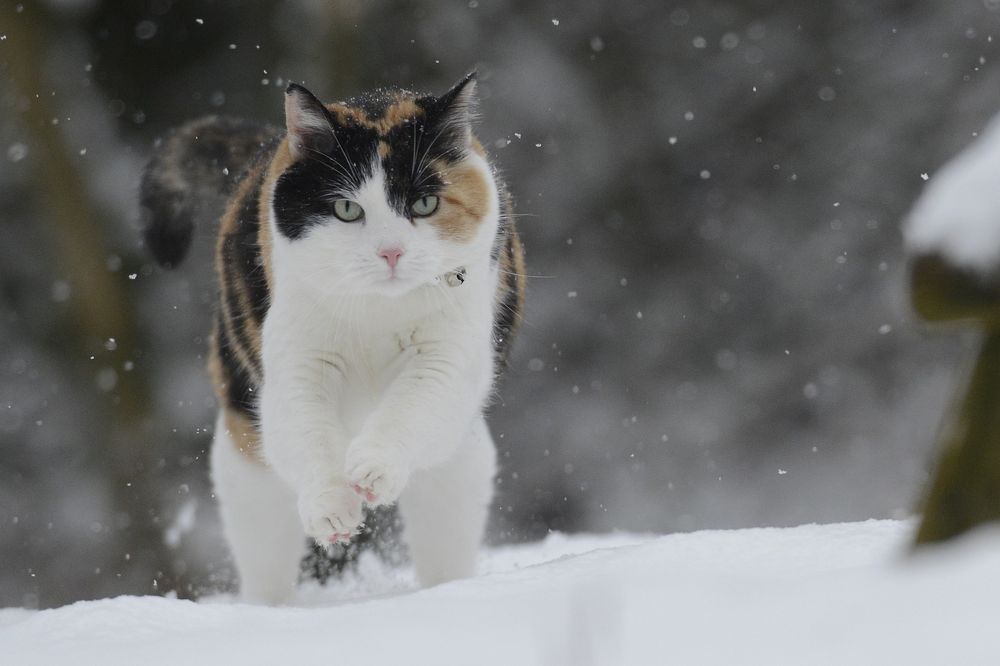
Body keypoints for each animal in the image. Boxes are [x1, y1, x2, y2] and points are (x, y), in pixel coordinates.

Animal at [146, 72, 532, 600]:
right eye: (347, 209)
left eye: (425, 203)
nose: (390, 252)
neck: (376, 314)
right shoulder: (297, 363)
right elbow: (307, 429)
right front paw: (332, 508)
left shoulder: (448, 357)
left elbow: (411, 405)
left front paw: (372, 471)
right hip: (245, 441)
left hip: (458, 455)